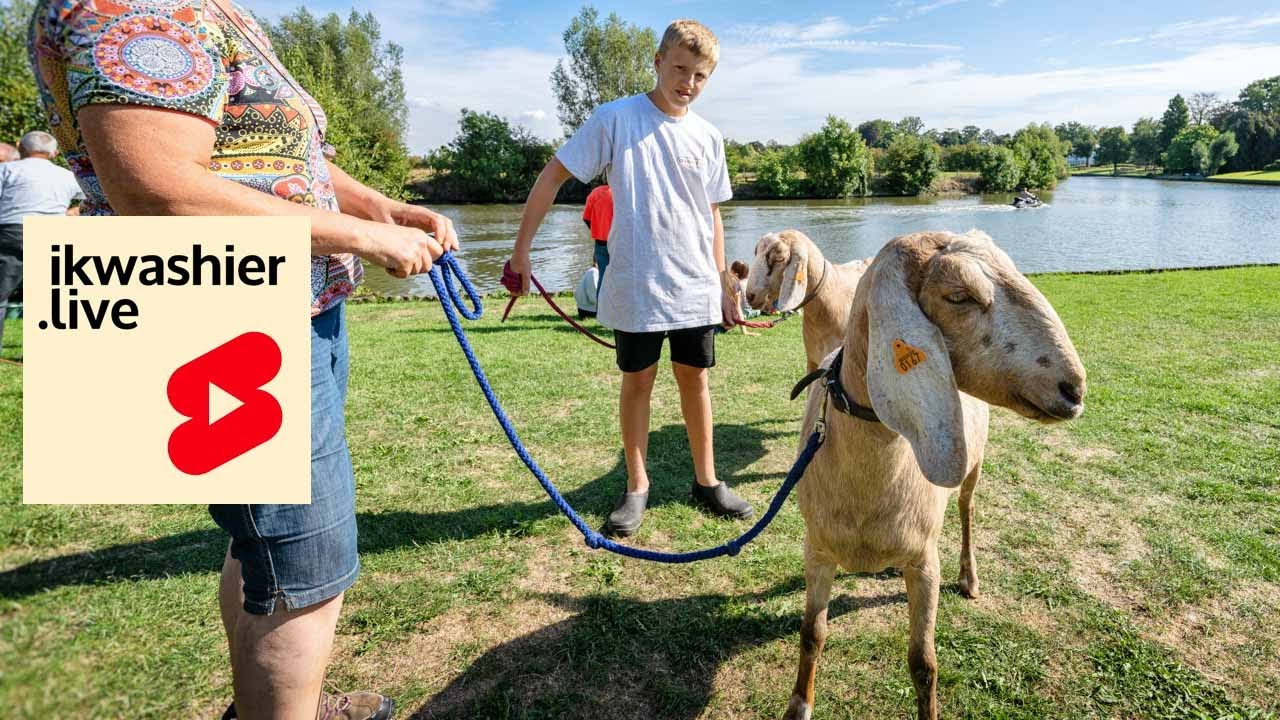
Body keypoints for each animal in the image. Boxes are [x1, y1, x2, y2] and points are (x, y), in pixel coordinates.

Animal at [783, 230, 1087, 720]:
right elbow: (812, 634)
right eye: (959, 296)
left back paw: (969, 577)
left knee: (966, 512)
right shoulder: (817, 551)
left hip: (972, 470)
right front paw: (800, 705)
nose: (1074, 389)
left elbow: (923, 663)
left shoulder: (924, 562)